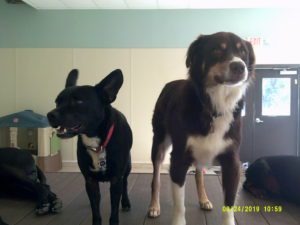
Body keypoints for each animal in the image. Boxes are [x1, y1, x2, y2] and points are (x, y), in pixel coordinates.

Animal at [47, 68, 132, 225]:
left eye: (78, 101)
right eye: (57, 102)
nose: (50, 114)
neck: (95, 140)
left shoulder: (116, 180)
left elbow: (114, 209)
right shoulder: (90, 181)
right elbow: (95, 207)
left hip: (127, 167)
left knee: (125, 182)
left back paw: (126, 202)